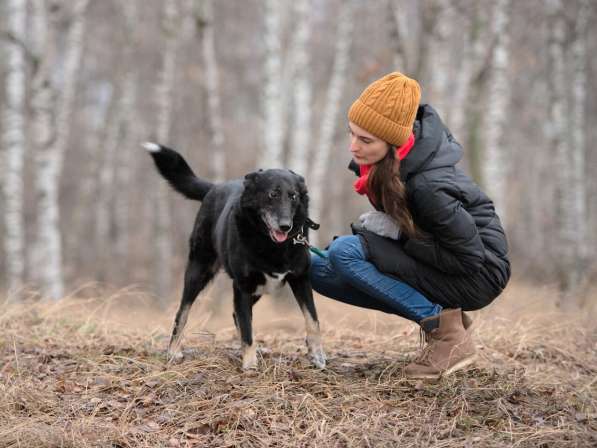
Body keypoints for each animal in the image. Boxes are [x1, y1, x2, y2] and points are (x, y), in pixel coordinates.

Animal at [143, 142, 326, 370]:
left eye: (293, 196)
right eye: (272, 194)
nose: (285, 226)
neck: (270, 244)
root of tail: (214, 187)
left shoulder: (300, 279)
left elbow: (313, 319)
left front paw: (317, 355)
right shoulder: (242, 285)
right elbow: (247, 328)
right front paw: (250, 364)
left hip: (256, 290)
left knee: (234, 314)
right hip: (198, 272)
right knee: (182, 313)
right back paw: (174, 351)